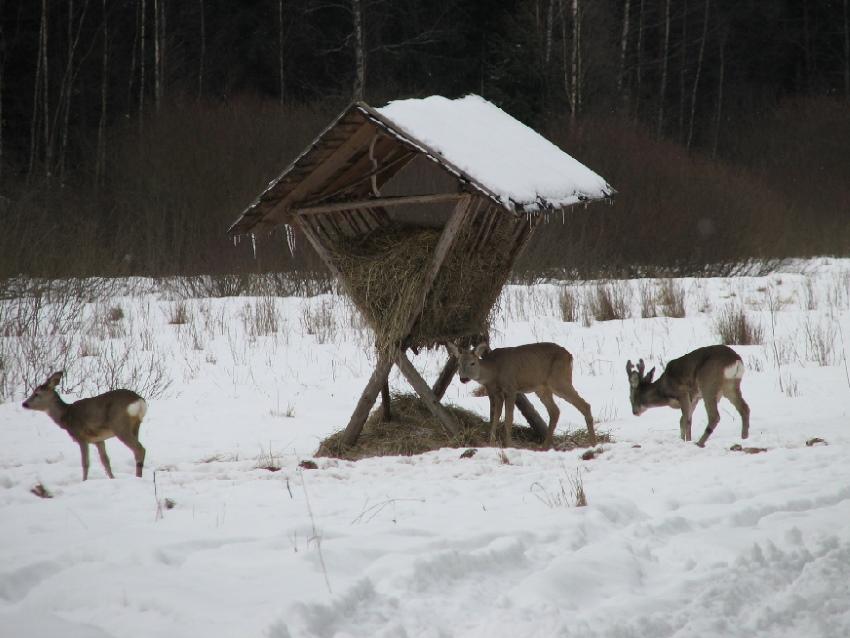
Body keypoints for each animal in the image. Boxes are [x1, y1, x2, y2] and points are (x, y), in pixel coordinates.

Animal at [444, 344, 596, 450]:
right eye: (458, 363)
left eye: (473, 363)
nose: (463, 379)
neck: (494, 372)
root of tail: (569, 356)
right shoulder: (496, 393)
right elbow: (494, 417)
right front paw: (491, 443)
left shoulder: (511, 388)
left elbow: (508, 418)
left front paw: (509, 444)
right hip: (542, 388)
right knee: (555, 411)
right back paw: (545, 446)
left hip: (559, 380)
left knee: (584, 404)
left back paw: (593, 443)